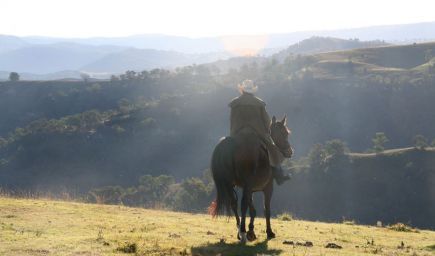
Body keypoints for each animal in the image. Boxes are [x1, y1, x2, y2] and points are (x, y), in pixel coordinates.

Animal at [208, 115, 292, 243]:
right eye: (284, 133)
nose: (290, 151)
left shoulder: (250, 189)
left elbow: (252, 209)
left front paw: (251, 230)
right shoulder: (267, 187)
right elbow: (266, 209)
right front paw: (269, 232)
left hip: (229, 184)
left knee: (234, 203)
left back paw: (239, 229)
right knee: (242, 204)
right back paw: (242, 232)